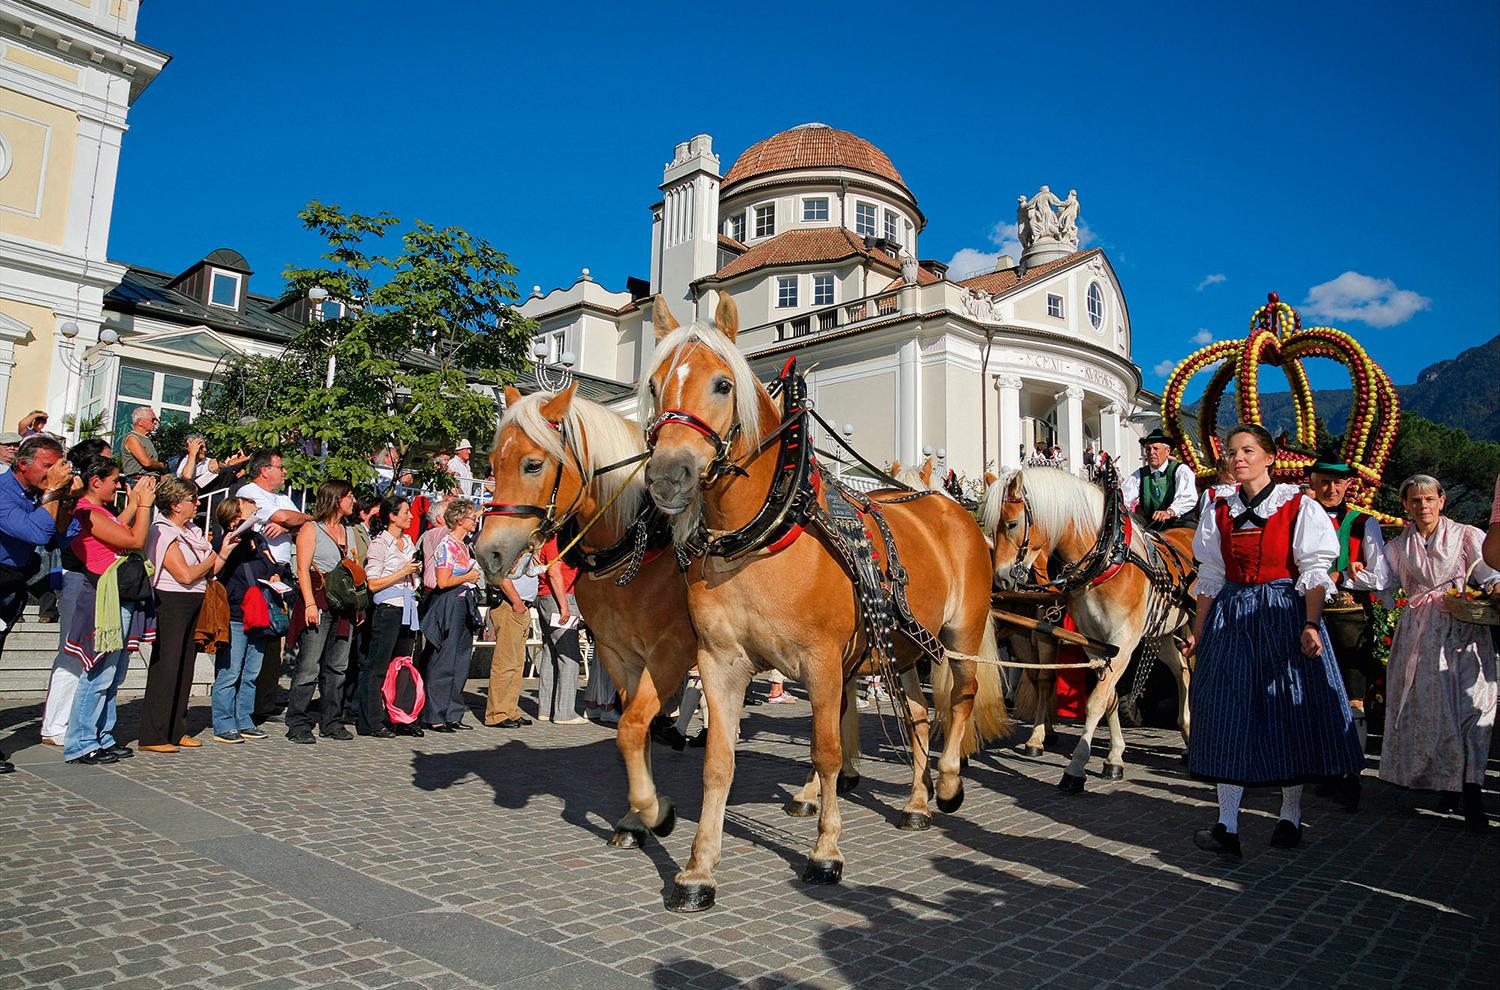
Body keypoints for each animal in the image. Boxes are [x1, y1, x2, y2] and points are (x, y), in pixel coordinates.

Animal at [636, 295, 1002, 912]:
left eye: (722, 384)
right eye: (656, 383)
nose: (668, 476)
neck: (766, 532)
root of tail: (950, 507)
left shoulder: (824, 661)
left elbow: (827, 750)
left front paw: (826, 851)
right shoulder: (720, 661)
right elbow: (718, 762)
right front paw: (698, 870)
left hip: (960, 634)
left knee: (960, 700)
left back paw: (948, 783)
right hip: (902, 645)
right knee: (919, 715)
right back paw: (916, 801)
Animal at [984, 468, 1194, 792]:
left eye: (1012, 523)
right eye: (990, 529)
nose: (1002, 579)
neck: (1107, 561)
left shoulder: (1123, 643)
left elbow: (1095, 701)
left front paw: (1075, 768)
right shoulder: (1095, 644)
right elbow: (1108, 698)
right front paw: (1115, 757)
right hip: (1161, 632)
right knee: (1181, 669)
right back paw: (1185, 731)